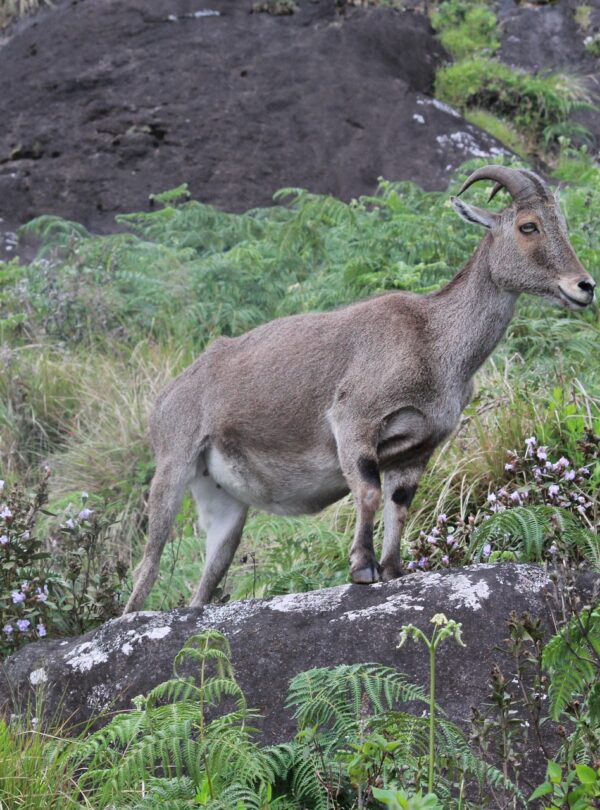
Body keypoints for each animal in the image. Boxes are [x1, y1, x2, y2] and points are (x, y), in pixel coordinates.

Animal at [124, 165, 595, 613]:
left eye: (563, 224)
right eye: (529, 226)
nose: (584, 286)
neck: (434, 340)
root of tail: (168, 395)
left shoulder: (417, 448)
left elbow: (398, 504)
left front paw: (393, 569)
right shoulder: (354, 420)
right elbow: (368, 492)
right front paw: (362, 568)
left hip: (223, 502)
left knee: (207, 579)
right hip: (173, 464)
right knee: (149, 563)